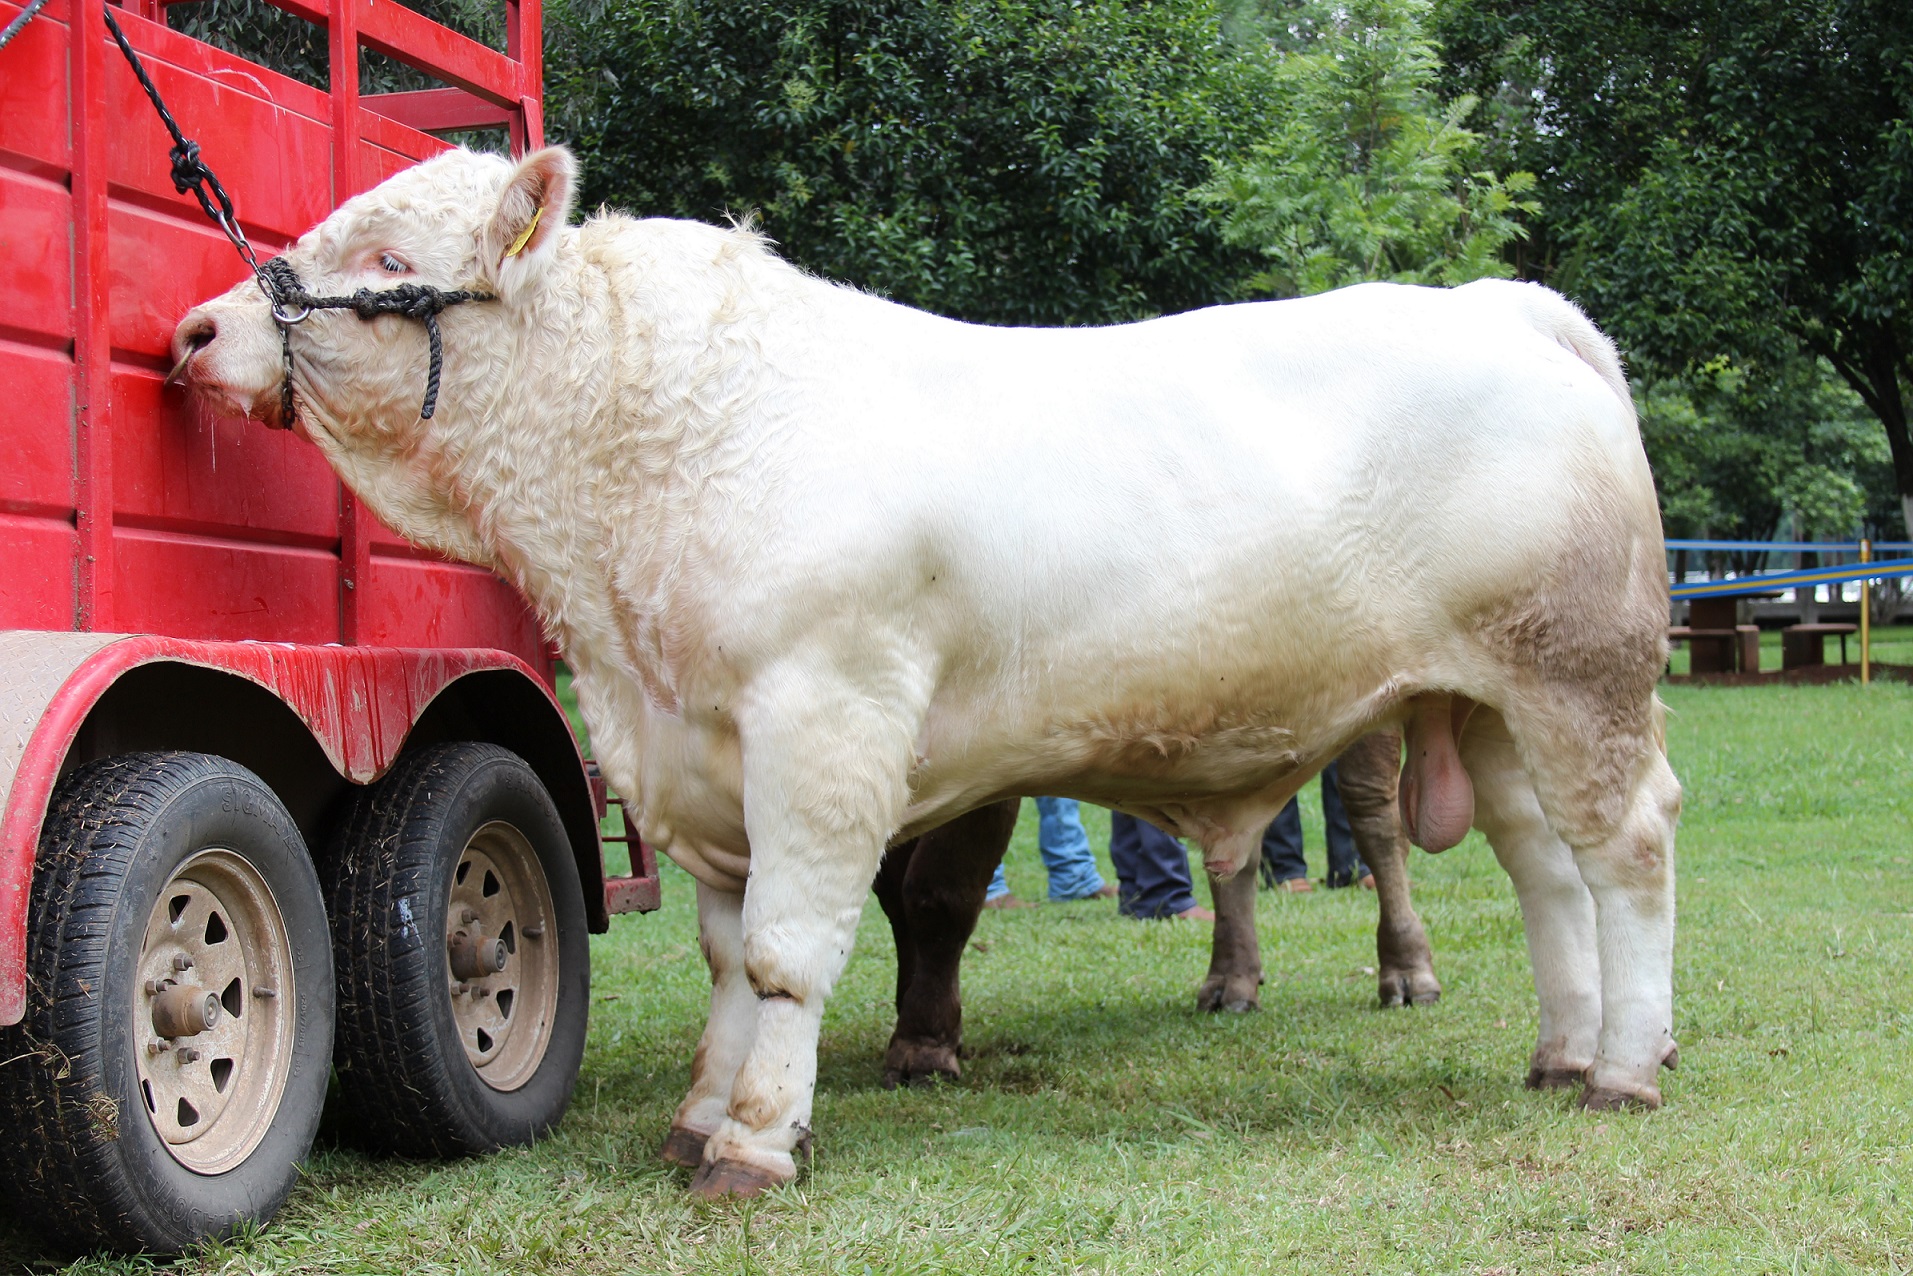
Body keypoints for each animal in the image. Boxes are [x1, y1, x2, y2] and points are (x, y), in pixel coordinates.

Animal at [868, 734, 1438, 1086]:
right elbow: (894, 891)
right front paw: (916, 1010)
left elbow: (939, 893)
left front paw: (924, 1044)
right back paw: (1233, 978)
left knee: (1374, 811)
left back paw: (1407, 969)